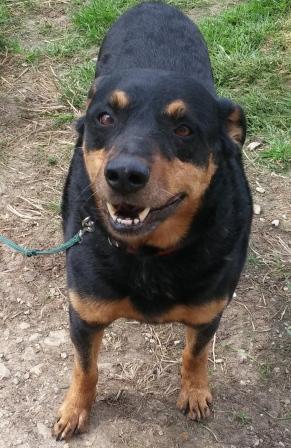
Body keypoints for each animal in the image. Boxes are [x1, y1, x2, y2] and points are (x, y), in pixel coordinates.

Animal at [53, 0, 254, 440]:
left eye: (184, 129)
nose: (124, 175)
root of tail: (153, 4)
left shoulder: (209, 312)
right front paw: (75, 409)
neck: (147, 254)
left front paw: (195, 393)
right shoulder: (84, 315)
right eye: (105, 118)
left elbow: (195, 355)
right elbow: (85, 368)